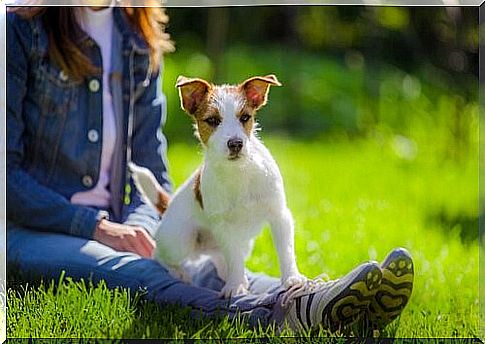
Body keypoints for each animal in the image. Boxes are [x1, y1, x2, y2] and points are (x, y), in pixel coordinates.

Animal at [130, 75, 304, 298]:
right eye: (212, 120)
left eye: (245, 117)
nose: (236, 144)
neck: (239, 171)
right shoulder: (224, 226)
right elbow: (234, 257)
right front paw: (236, 286)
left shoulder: (279, 215)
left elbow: (286, 250)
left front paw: (292, 279)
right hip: (180, 240)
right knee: (158, 254)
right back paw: (179, 272)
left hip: (242, 243)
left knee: (222, 258)